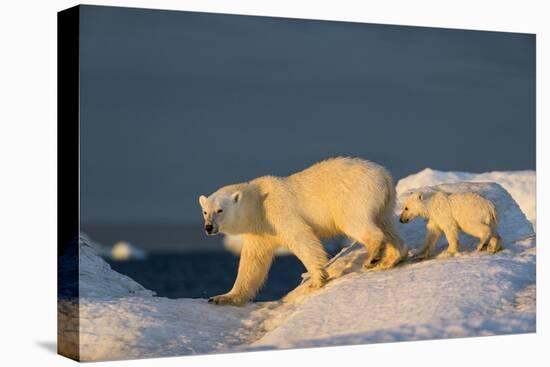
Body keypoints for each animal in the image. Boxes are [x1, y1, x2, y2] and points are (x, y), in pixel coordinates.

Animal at [201, 157, 408, 306]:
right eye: (205, 211)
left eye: (220, 210)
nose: (208, 227)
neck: (258, 204)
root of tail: (385, 175)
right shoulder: (259, 232)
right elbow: (252, 263)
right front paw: (222, 297)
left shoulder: (278, 212)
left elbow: (302, 238)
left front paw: (316, 281)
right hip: (384, 202)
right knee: (387, 225)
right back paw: (391, 258)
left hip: (354, 196)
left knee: (356, 222)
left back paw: (373, 257)